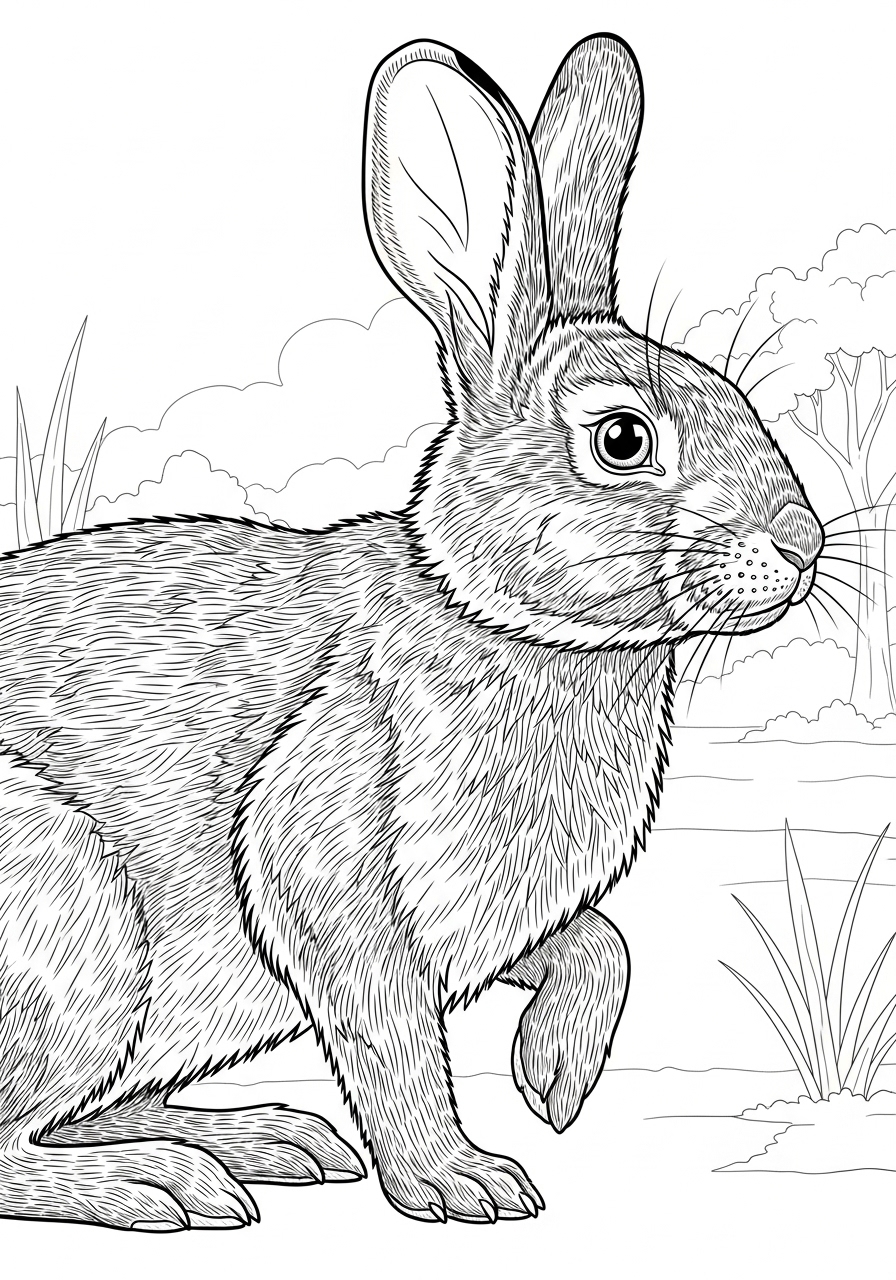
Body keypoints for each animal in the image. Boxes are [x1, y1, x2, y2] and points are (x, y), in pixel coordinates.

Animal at [0, 34, 823, 1231]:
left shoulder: (496, 921)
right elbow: (392, 1040)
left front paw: (555, 1080)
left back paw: (261, 1142)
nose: (803, 543)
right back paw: (160, 1183)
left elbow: (599, 943)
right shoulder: (332, 856)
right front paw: (460, 1179)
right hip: (75, 925)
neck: (490, 613)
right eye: (622, 439)